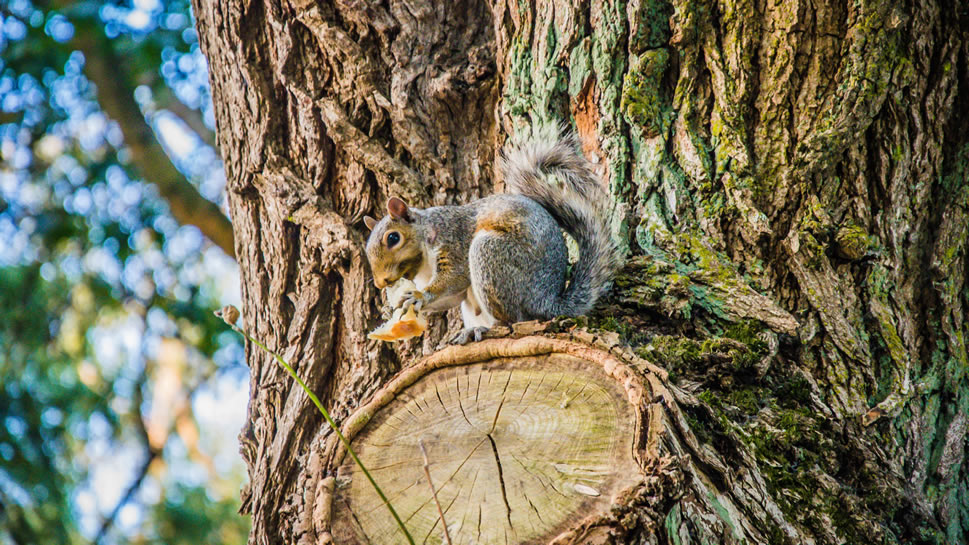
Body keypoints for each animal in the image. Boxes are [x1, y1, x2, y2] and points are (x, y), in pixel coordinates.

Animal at [364, 125, 620, 342]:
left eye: (393, 238)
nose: (380, 283)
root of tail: (546, 301)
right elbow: (451, 297)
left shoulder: (454, 242)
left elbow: (454, 278)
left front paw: (419, 296)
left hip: (490, 254)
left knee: (512, 320)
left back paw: (483, 328)